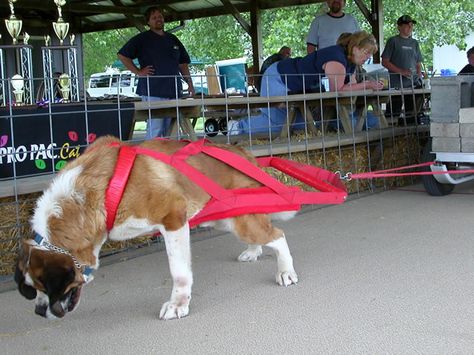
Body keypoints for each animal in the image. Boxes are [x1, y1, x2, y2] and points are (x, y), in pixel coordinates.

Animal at [15, 136, 300, 320]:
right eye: (31, 287)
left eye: (44, 285)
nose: (38, 311)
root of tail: (242, 152)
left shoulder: (173, 220)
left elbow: (180, 272)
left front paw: (178, 305)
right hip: (229, 216)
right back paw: (253, 251)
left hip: (240, 222)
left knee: (278, 236)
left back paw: (285, 271)